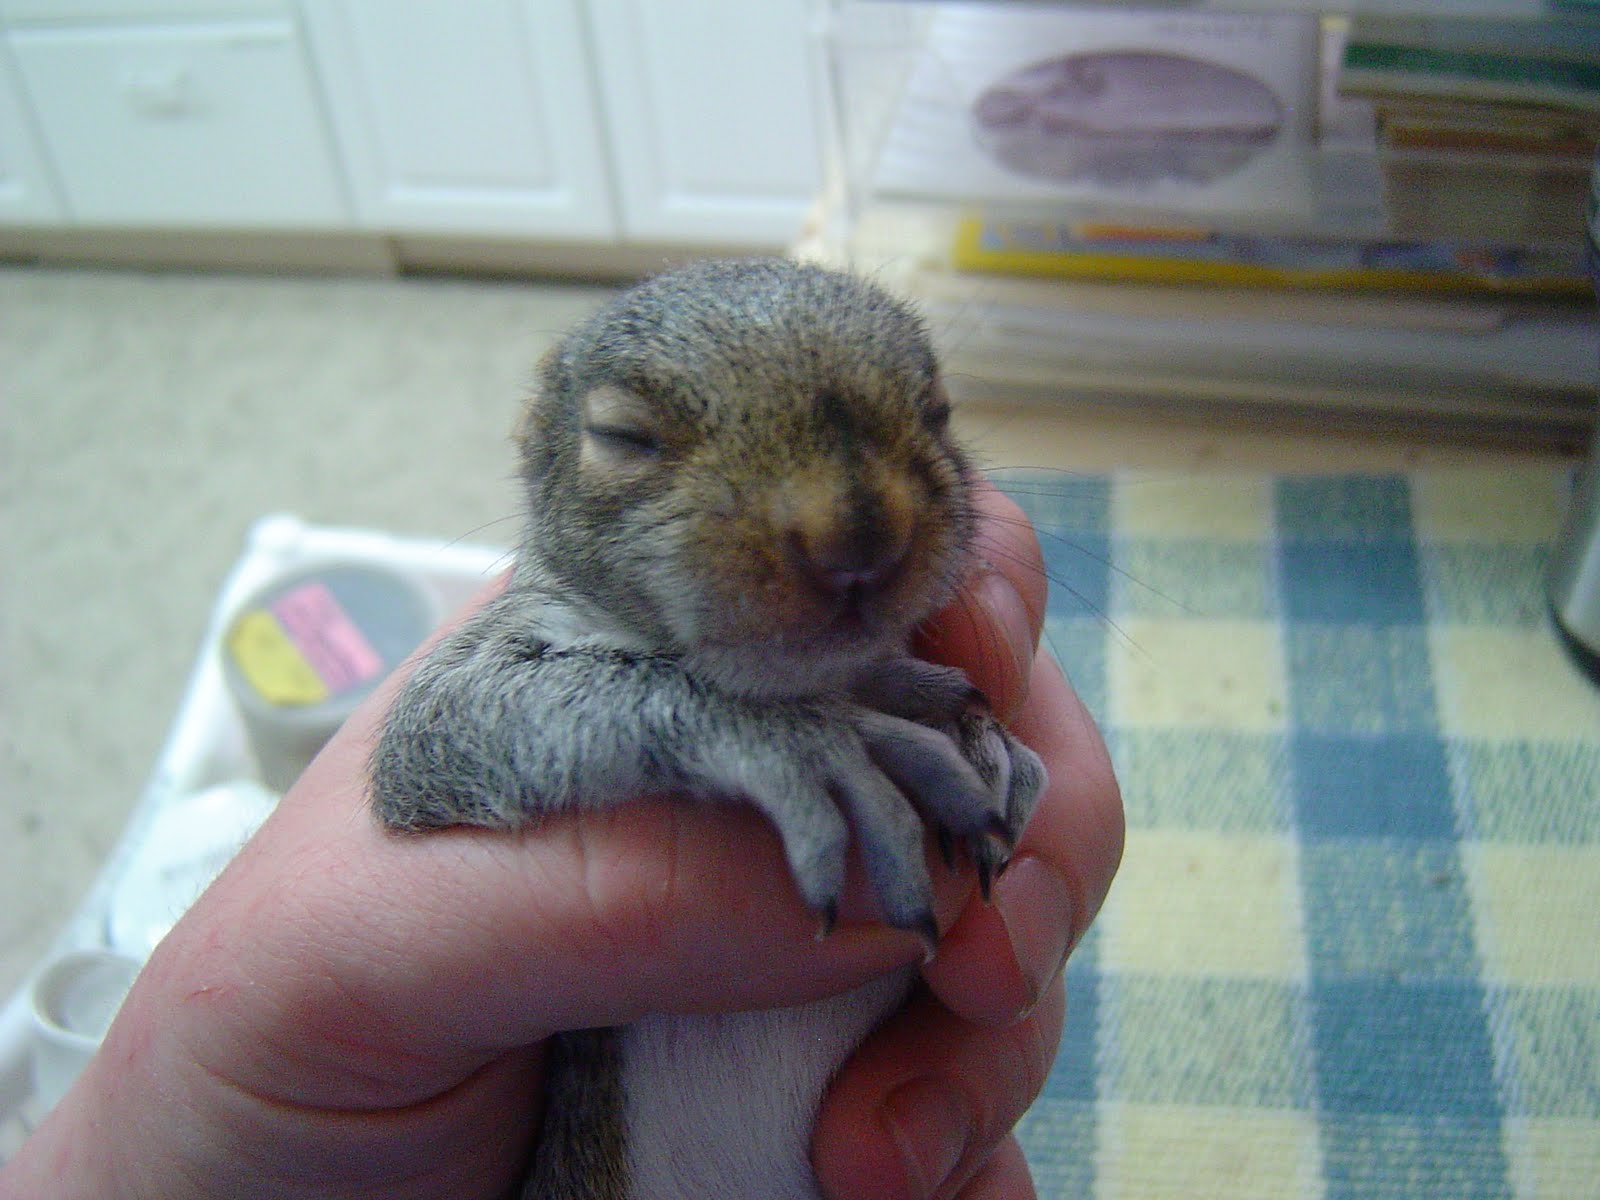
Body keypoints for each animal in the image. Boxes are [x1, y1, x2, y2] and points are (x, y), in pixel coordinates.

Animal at [369, 257, 1046, 1200]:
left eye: (940, 409)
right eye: (619, 436)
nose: (859, 537)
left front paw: (987, 741)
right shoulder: (452, 697)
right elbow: (463, 725)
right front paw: (813, 740)